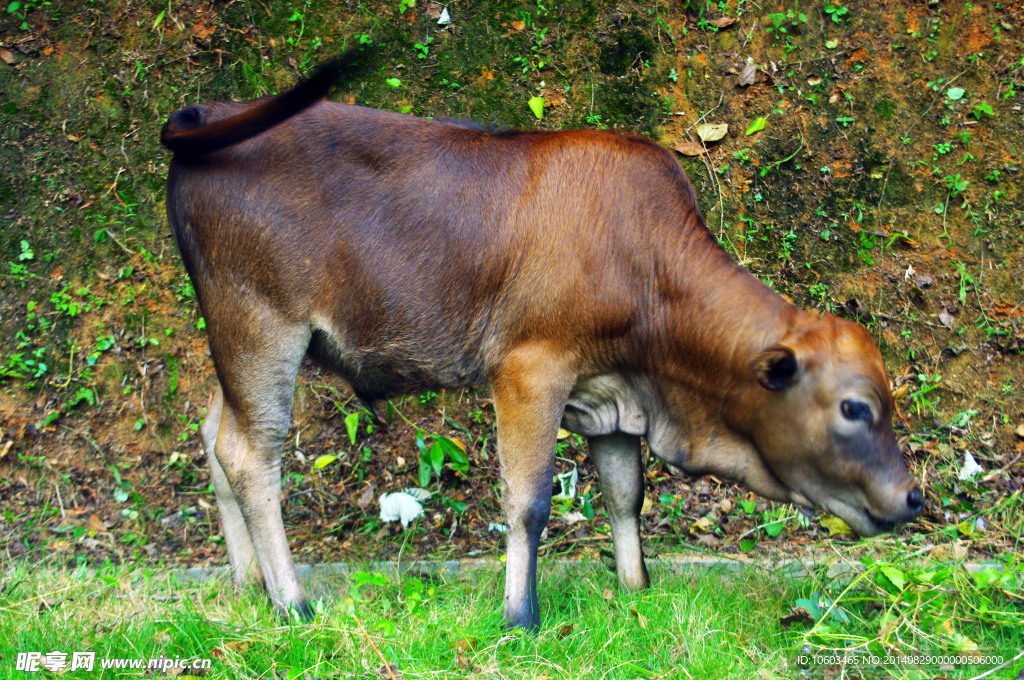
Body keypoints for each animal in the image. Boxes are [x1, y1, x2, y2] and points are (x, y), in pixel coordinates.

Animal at [161, 53, 929, 630]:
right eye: (854, 408)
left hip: (233, 339)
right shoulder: (529, 370)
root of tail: (209, 113)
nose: (914, 498)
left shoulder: (610, 397)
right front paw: (520, 617)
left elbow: (625, 494)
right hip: (261, 326)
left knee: (213, 434)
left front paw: (635, 591)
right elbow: (527, 502)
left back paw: (247, 585)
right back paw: (290, 602)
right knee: (251, 455)